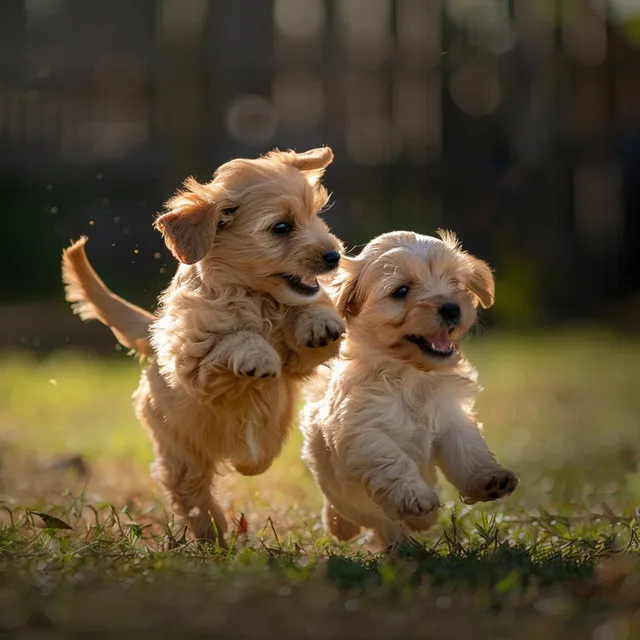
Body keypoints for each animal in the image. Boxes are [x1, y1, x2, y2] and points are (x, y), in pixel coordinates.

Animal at [61, 148, 344, 548]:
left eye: (315, 215)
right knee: (191, 493)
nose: (334, 256)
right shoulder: (192, 355)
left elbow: (307, 317)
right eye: (281, 227)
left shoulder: (294, 363)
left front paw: (320, 321)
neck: (257, 297)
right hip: (180, 452)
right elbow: (232, 339)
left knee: (252, 462)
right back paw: (212, 536)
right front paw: (257, 353)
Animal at [302, 229, 520, 544]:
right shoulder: (360, 428)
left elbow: (467, 450)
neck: (412, 375)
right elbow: (390, 459)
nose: (452, 307)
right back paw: (342, 526)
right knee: (357, 513)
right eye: (401, 291)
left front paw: (489, 479)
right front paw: (413, 495)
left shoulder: (451, 417)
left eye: (455, 282)